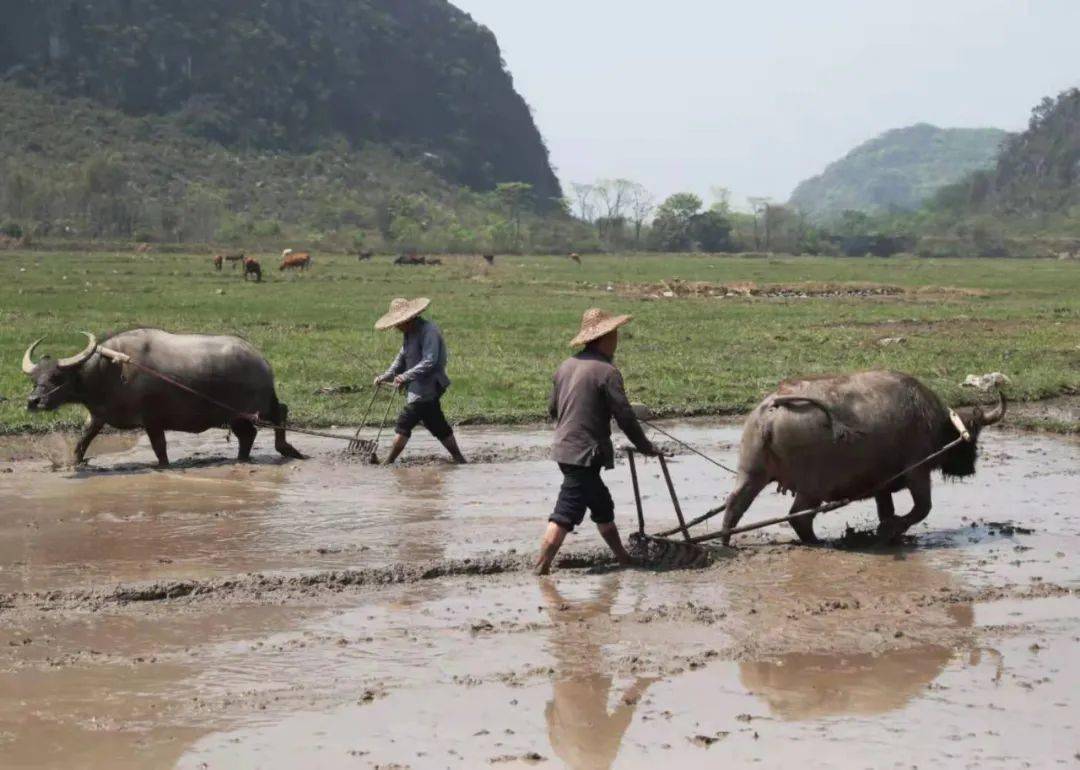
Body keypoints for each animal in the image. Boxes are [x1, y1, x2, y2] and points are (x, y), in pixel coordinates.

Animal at [19, 328, 304, 466]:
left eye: (57, 377)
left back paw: (288, 449)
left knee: (281, 412)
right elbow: (82, 441)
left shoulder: (153, 420)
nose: (34, 401)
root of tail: (260, 360)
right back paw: (243, 458)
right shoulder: (99, 416)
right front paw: (75, 462)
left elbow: (160, 450)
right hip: (234, 415)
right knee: (249, 435)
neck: (109, 371)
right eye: (35, 379)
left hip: (257, 406)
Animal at [721, 369, 1006, 544]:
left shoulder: (881, 485)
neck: (931, 422)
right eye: (973, 437)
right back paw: (818, 541)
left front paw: (888, 533)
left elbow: (887, 510)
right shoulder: (917, 471)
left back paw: (725, 539)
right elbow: (922, 508)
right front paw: (893, 530)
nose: (970, 467)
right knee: (799, 516)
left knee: (735, 504)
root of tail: (773, 410)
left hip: (752, 472)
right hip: (812, 487)